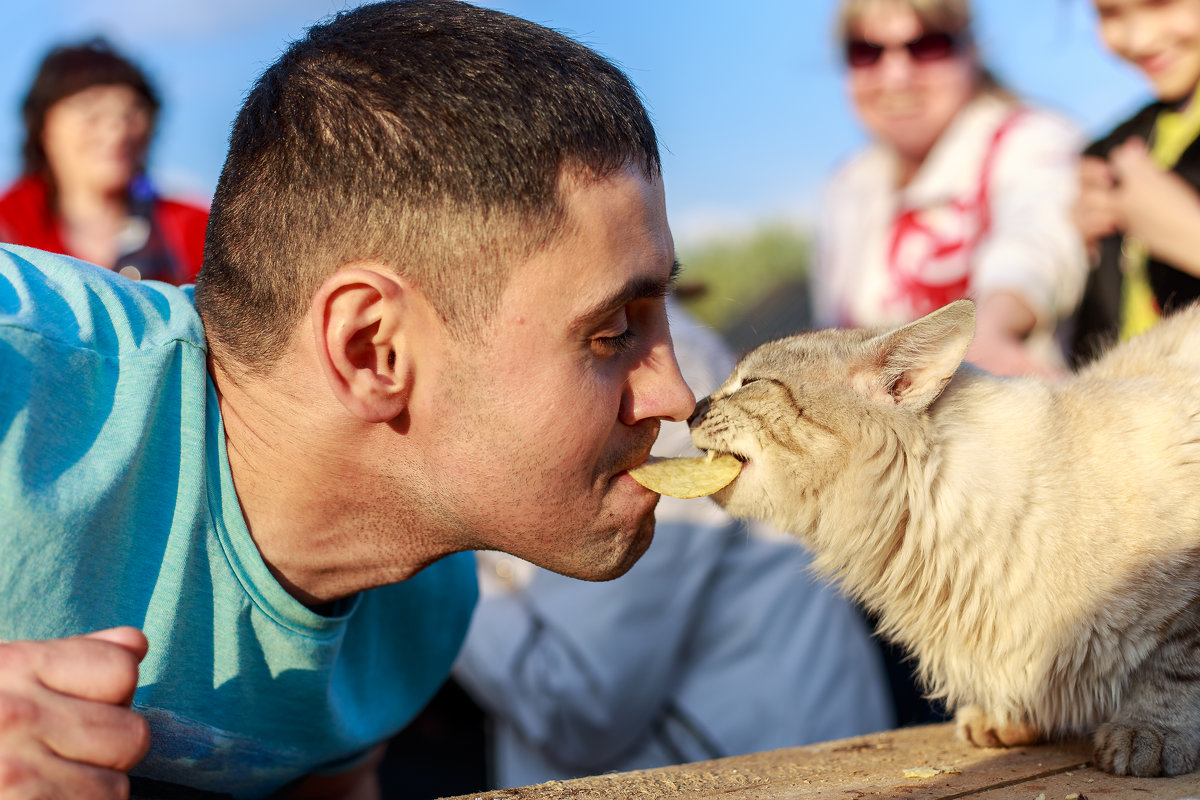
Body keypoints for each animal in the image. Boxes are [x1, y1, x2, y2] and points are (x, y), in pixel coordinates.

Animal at [691, 298, 1200, 777]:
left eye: (750, 383)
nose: (693, 409)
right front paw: (1008, 718)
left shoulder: (1187, 608)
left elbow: (1173, 672)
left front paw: (1149, 735)